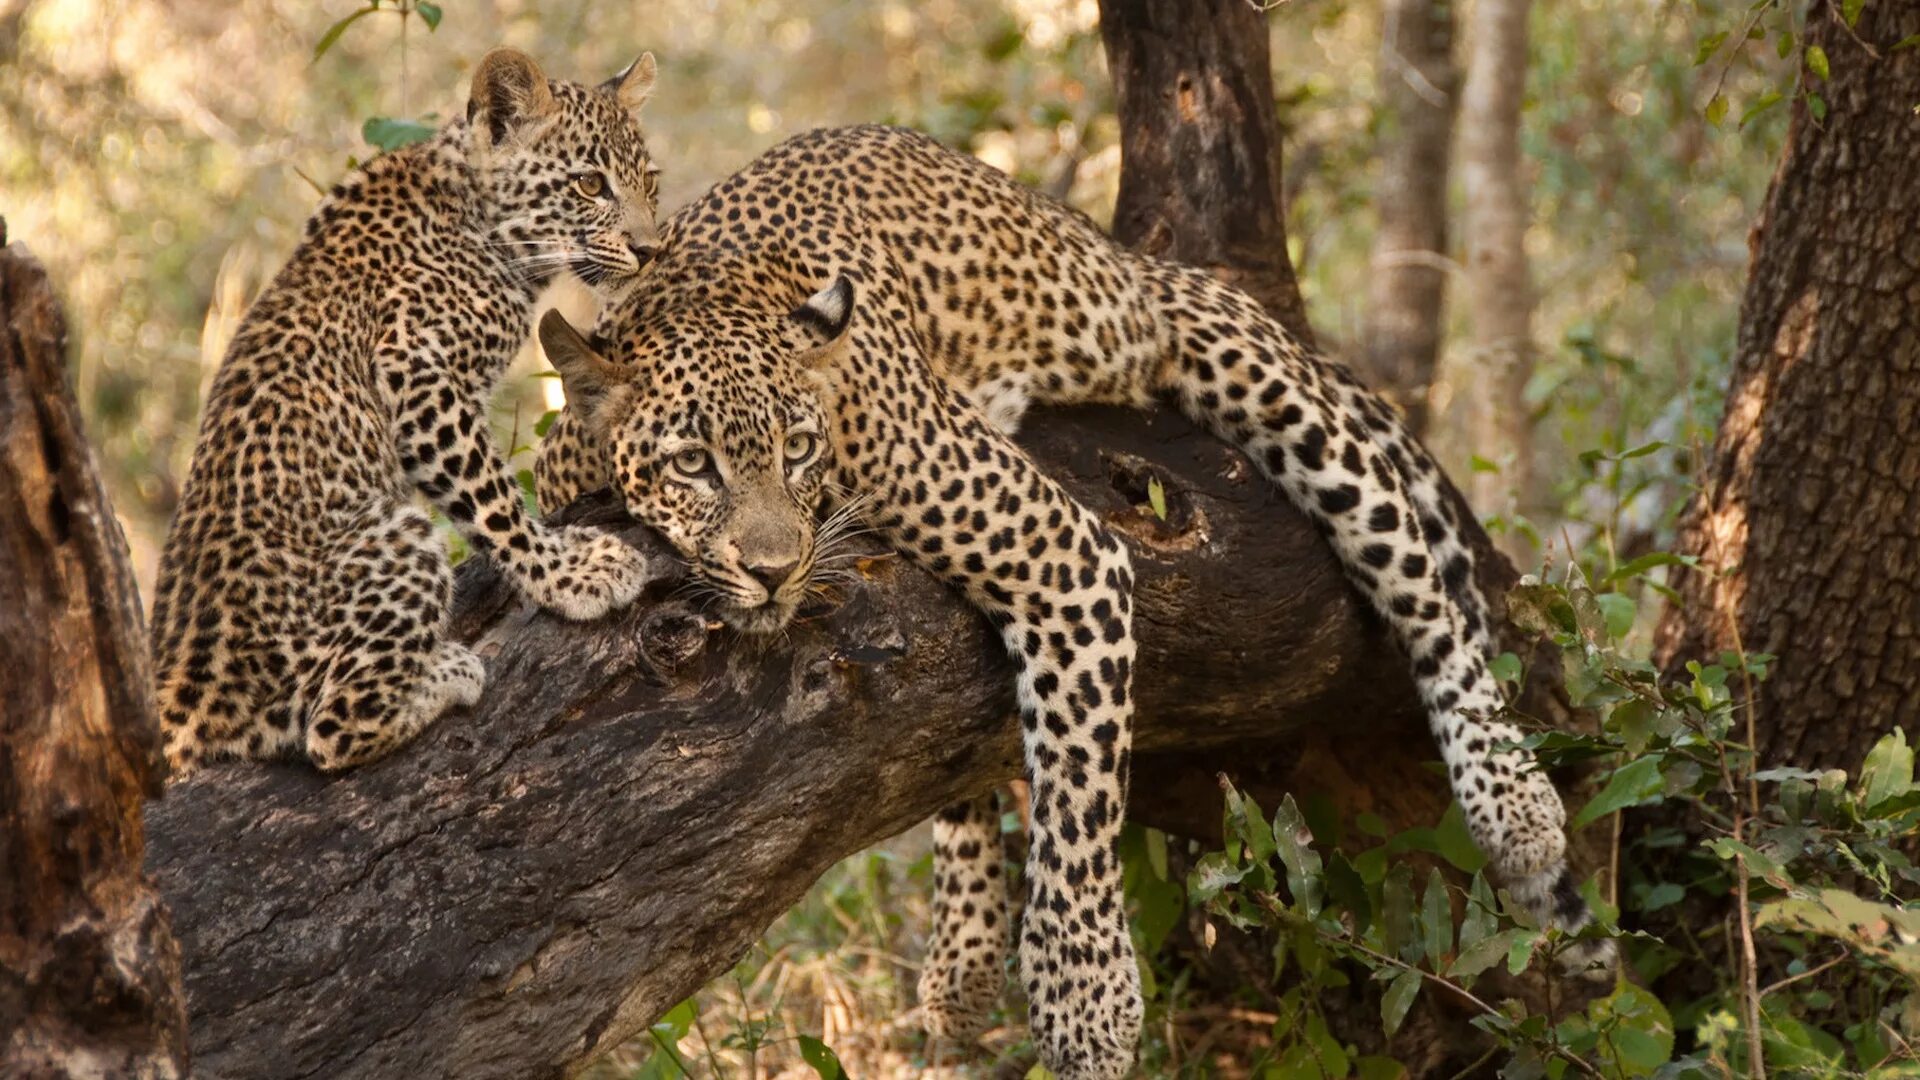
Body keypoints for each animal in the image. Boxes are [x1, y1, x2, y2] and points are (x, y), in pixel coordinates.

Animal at [151, 50, 660, 772]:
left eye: (650, 181)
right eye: (590, 183)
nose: (649, 250)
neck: (478, 220)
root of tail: (182, 715)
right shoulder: (415, 374)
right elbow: (496, 501)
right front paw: (569, 576)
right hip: (394, 534)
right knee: (330, 730)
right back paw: (449, 674)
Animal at [529, 123, 1605, 1068]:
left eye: (796, 450)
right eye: (693, 464)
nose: (772, 567)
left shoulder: (1066, 551)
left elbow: (1076, 789)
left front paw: (1086, 1005)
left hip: (1251, 371)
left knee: (1421, 584)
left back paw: (1515, 803)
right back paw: (960, 966)